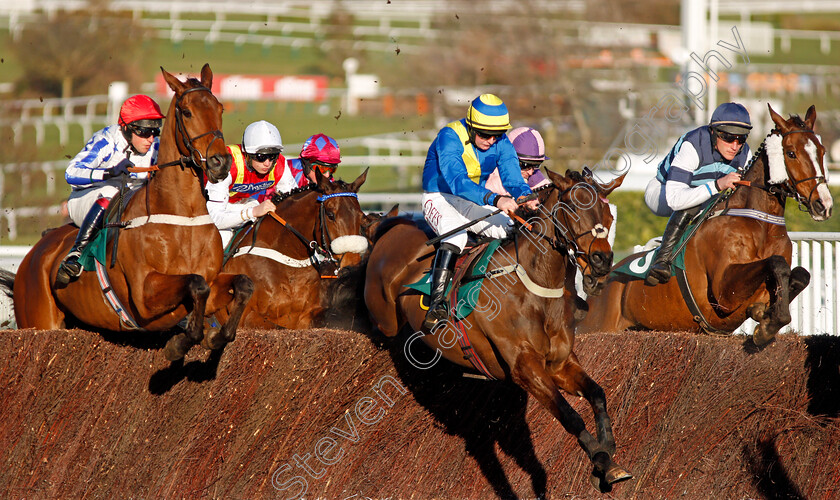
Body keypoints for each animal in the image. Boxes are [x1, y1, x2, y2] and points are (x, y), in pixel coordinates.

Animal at [5, 64, 253, 362]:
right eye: (187, 111)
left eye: (220, 108)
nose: (220, 162)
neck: (183, 216)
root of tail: (34, 253)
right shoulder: (145, 297)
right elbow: (196, 285)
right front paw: (181, 342)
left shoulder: (212, 279)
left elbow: (242, 284)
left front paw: (216, 335)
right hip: (38, 318)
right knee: (99, 196)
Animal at [364, 169, 632, 492]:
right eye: (573, 209)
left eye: (609, 215)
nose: (601, 262)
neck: (534, 285)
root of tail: (394, 228)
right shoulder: (525, 368)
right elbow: (569, 415)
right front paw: (601, 459)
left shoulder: (560, 364)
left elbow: (597, 394)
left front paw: (608, 455)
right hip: (384, 317)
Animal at [584, 103, 832, 346]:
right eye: (791, 153)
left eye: (822, 151)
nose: (824, 205)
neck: (762, 226)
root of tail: (603, 281)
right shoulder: (723, 291)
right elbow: (776, 263)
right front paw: (769, 324)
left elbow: (801, 274)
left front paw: (765, 315)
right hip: (597, 326)